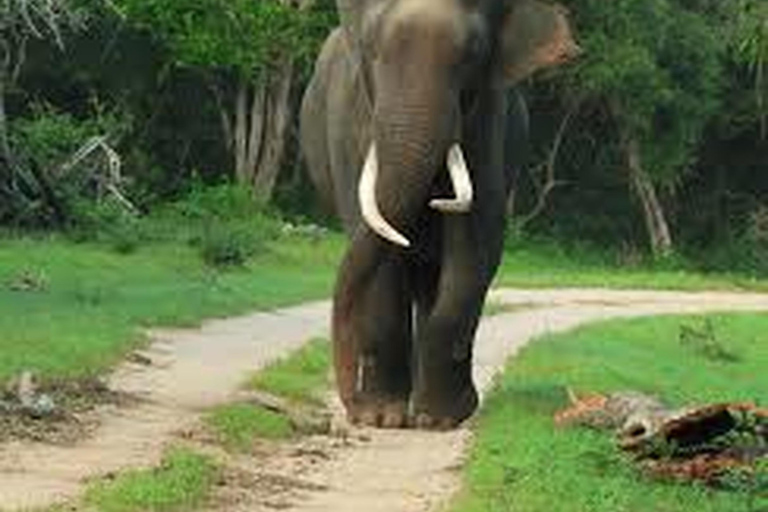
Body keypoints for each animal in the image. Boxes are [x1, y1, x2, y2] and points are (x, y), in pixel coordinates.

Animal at [300, 0, 576, 430]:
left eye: (472, 56)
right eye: (372, 50)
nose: (352, 405)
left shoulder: (487, 123)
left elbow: (475, 247)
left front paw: (440, 419)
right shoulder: (348, 128)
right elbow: (378, 246)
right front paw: (383, 417)